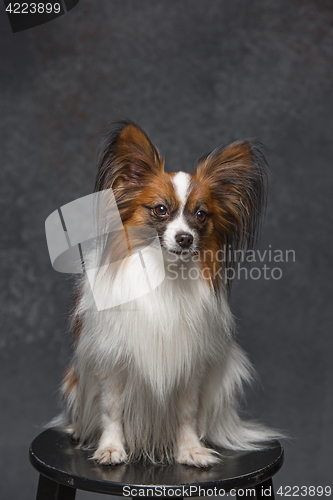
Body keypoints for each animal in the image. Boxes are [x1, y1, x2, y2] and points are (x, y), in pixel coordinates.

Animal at [57, 121, 280, 468]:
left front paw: (190, 450)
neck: (165, 273)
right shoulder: (112, 360)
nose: (185, 238)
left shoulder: (190, 366)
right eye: (160, 210)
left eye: (201, 215)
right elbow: (112, 409)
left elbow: (186, 413)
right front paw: (111, 448)